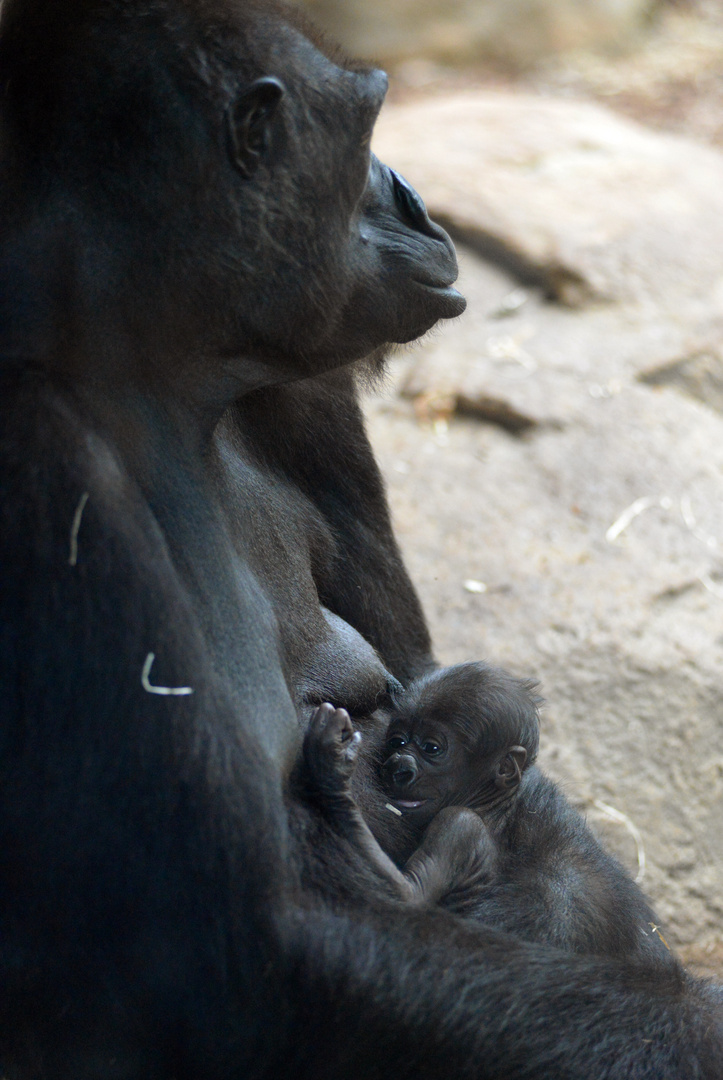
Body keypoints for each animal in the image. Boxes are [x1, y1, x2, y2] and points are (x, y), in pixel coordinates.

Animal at [302, 660, 670, 967]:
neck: (491, 807)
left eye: (431, 748)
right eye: (397, 741)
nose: (398, 769)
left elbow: (406, 898)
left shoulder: (458, 825)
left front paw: (332, 776)